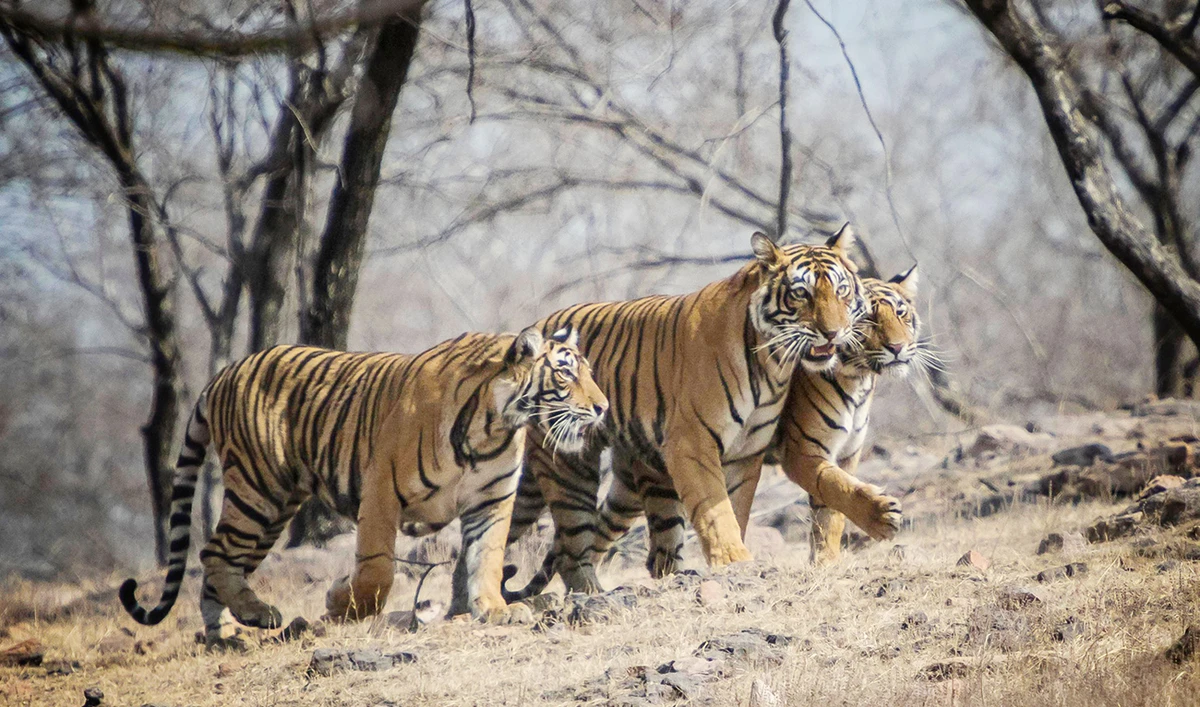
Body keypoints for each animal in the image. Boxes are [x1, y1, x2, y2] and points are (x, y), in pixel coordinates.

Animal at [119, 327, 607, 639]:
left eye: (590, 372)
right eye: (565, 374)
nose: (603, 407)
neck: (495, 425)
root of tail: (224, 373)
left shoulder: (492, 500)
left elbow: (486, 557)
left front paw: (496, 610)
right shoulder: (381, 491)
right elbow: (377, 571)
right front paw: (340, 602)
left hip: (274, 505)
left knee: (222, 561)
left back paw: (224, 633)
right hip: (259, 490)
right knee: (214, 552)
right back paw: (255, 615)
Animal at [490, 227, 871, 603]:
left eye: (841, 290)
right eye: (801, 293)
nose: (833, 332)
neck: (772, 363)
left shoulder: (746, 453)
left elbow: (736, 508)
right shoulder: (692, 443)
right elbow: (716, 511)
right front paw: (734, 560)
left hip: (612, 480)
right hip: (569, 465)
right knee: (571, 546)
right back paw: (591, 594)